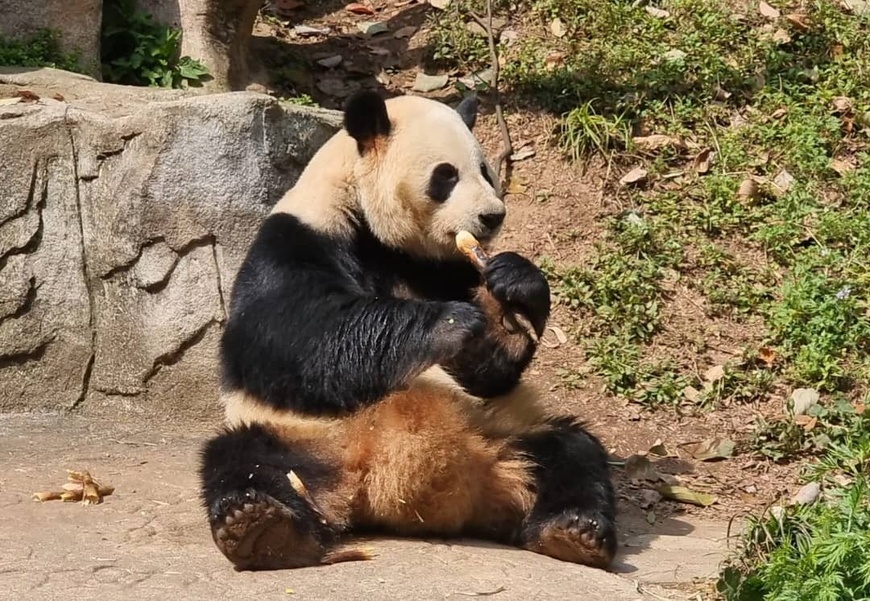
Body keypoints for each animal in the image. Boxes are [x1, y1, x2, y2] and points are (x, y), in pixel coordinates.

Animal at [198, 90, 617, 572]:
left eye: (486, 170)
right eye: (446, 175)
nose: (493, 216)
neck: (381, 236)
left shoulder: (443, 269)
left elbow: (491, 375)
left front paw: (510, 299)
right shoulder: (294, 241)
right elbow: (296, 338)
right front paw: (452, 323)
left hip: (507, 432)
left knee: (573, 452)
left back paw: (573, 532)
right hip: (307, 437)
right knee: (244, 458)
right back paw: (262, 527)